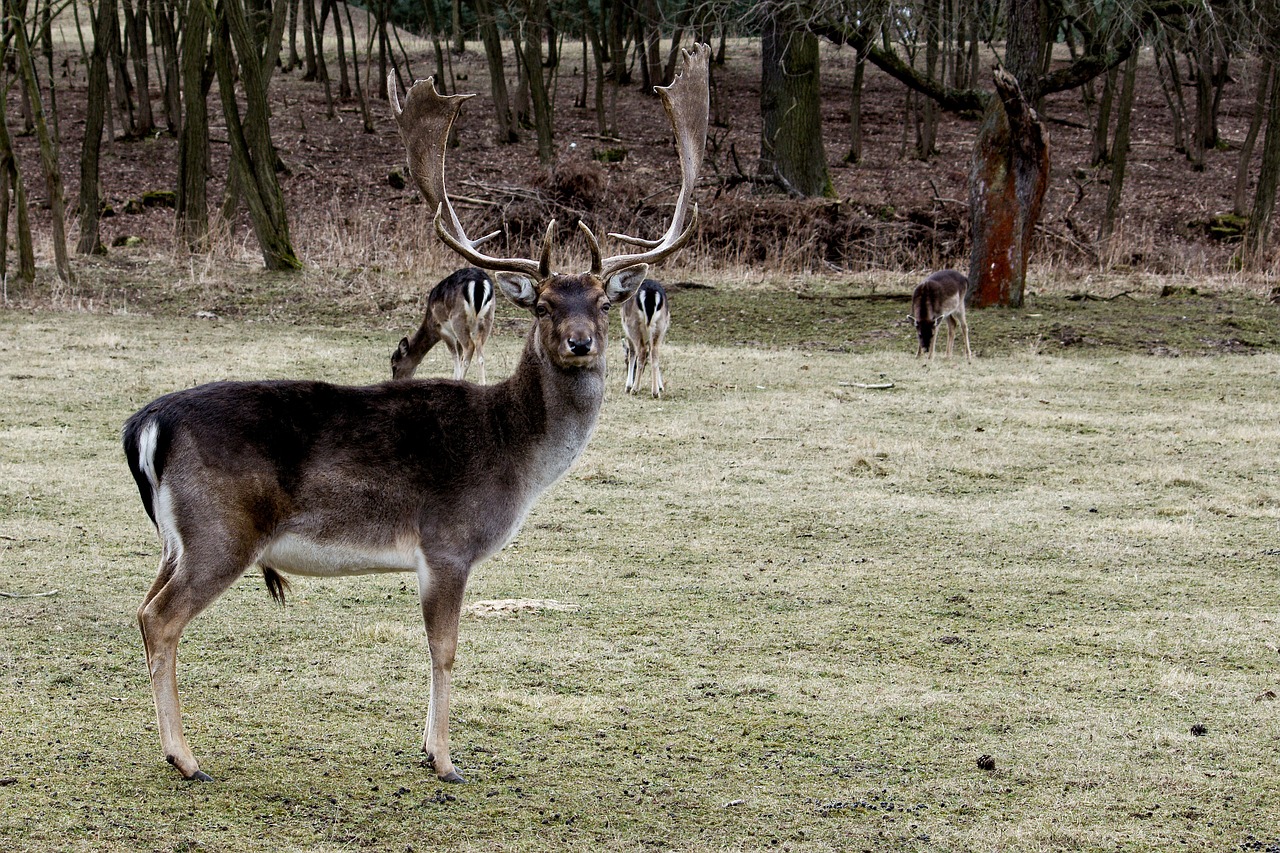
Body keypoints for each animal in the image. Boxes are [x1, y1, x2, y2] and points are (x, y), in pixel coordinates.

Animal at [120, 43, 711, 778]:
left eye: (602, 301)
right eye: (544, 305)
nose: (581, 342)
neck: (515, 454)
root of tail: (146, 425)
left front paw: (429, 748)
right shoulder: (448, 543)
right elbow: (446, 649)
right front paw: (445, 758)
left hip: (177, 538)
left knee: (142, 606)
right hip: (219, 529)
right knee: (160, 618)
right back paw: (185, 757)